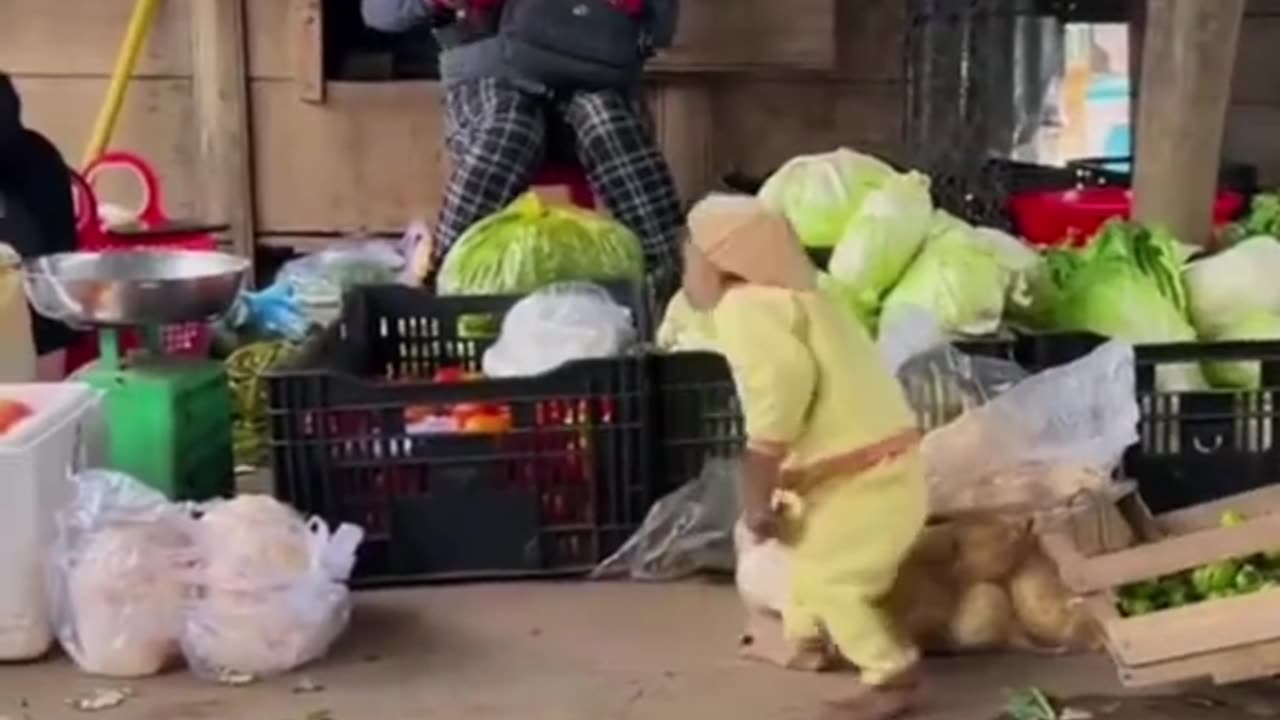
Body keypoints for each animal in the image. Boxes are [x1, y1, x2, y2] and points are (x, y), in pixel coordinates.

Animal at [686, 194, 926, 717]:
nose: (687, 277)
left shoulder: (749, 314)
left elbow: (784, 379)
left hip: (865, 525)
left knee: (833, 594)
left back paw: (882, 688)